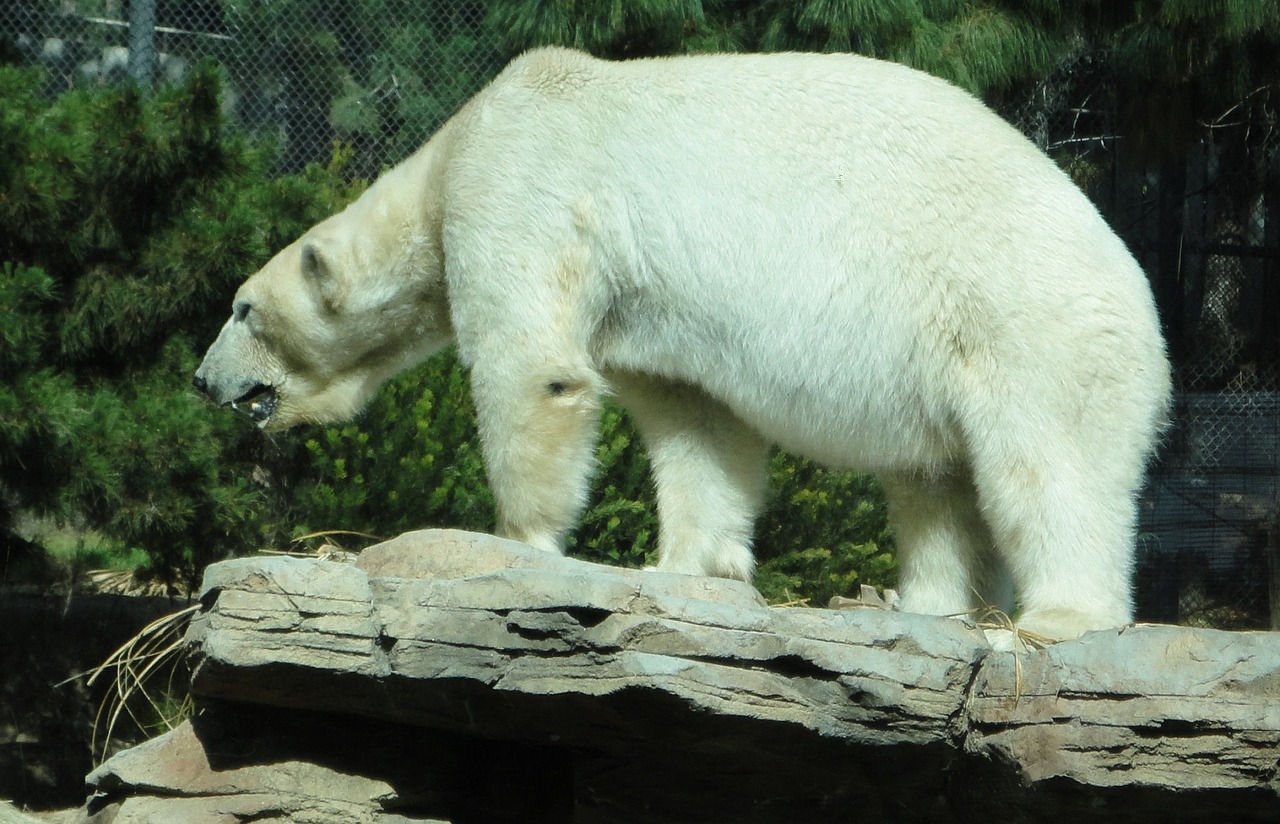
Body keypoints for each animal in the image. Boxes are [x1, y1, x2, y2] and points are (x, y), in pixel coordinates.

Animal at [197, 46, 1172, 644]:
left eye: (242, 310)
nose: (205, 381)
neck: (452, 150)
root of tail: (1140, 293)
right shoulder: (653, 311)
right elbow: (699, 424)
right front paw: (686, 565)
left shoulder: (521, 186)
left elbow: (533, 368)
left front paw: (516, 544)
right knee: (936, 484)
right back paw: (929, 604)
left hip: (1022, 322)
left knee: (1047, 468)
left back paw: (1060, 617)